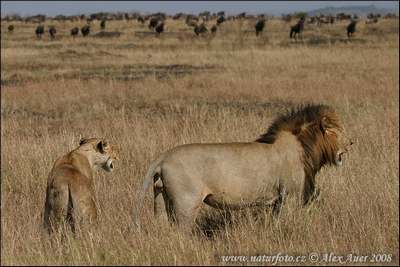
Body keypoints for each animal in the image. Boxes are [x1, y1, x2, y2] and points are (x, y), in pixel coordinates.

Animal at [141, 103, 354, 229]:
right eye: (337, 132)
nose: (351, 143)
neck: (304, 146)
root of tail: (163, 157)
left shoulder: (278, 200)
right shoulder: (291, 195)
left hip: (160, 198)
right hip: (186, 203)